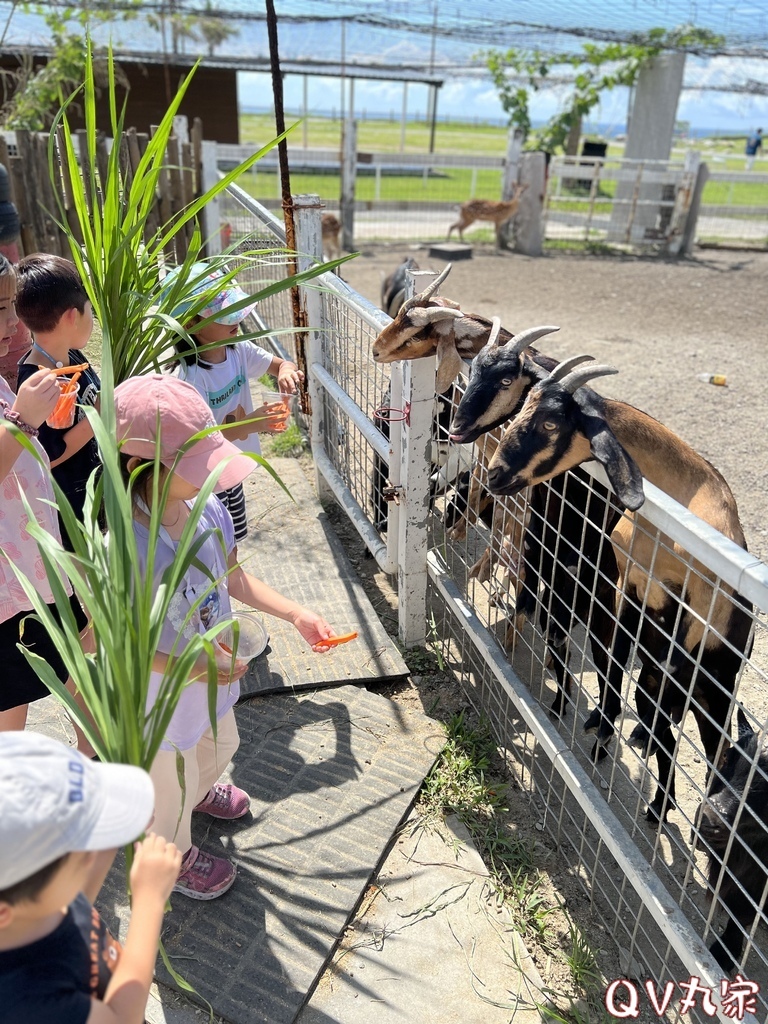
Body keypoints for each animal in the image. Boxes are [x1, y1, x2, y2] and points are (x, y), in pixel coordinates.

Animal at [489, 360, 753, 823]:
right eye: (524, 405)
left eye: (551, 422)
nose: (494, 473)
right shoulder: (625, 589)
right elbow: (610, 663)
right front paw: (600, 721)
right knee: (664, 731)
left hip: (712, 693)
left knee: (710, 756)